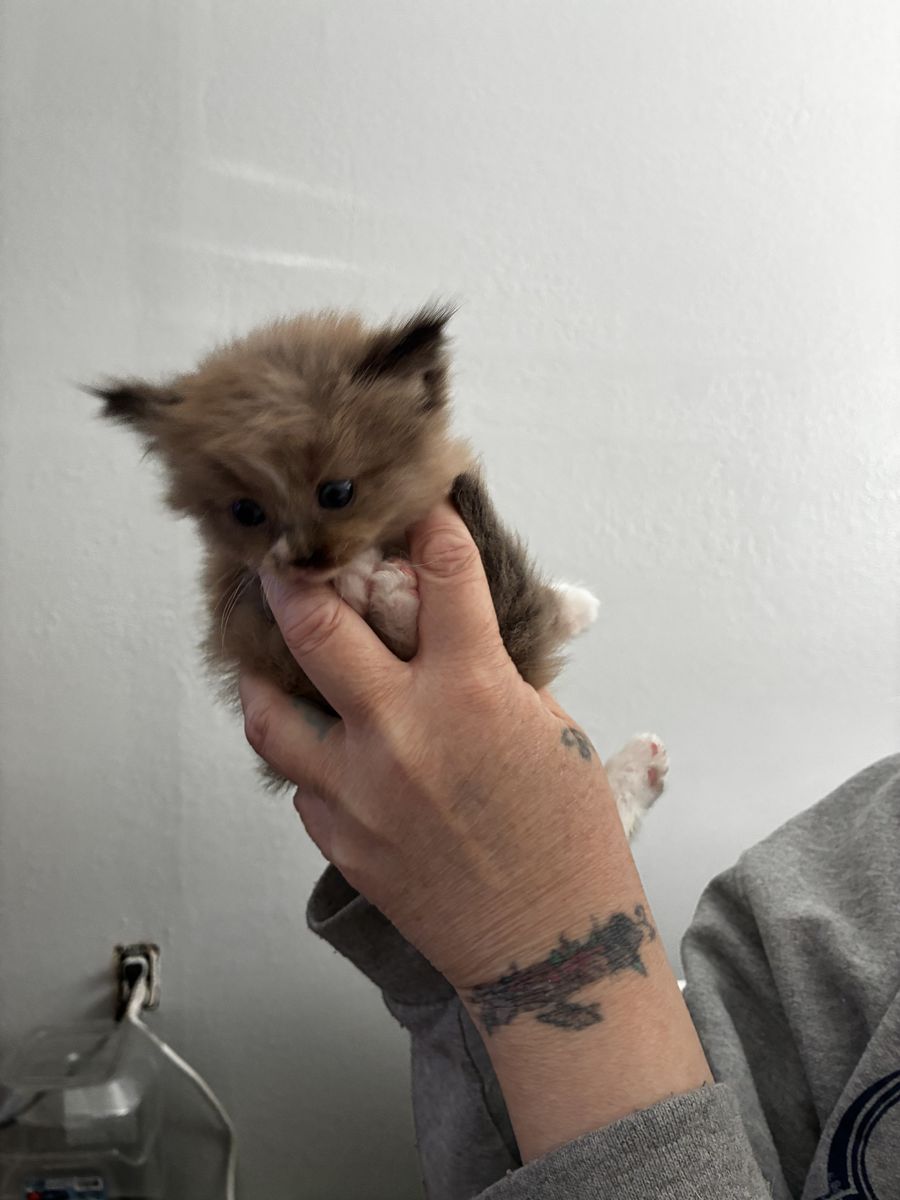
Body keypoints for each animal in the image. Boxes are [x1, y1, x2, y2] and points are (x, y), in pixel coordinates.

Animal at [92, 305, 666, 838]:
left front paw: (574, 605)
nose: (306, 557)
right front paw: (372, 584)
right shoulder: (260, 632)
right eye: (246, 512)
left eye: (337, 493)